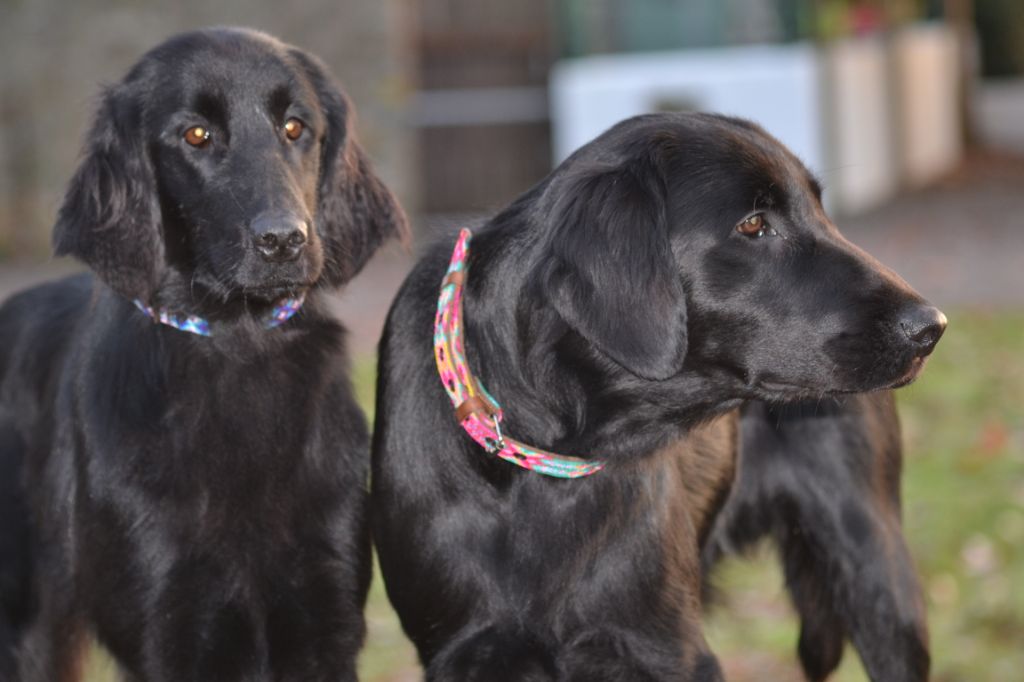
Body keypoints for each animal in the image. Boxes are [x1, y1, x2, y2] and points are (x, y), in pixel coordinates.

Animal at [0, 27, 405, 679]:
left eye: (296, 127)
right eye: (196, 135)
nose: (284, 240)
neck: (240, 344)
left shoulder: (326, 611)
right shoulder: (171, 621)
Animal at [372, 112, 946, 679]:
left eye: (821, 211)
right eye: (753, 225)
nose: (932, 328)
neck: (548, 463)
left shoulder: (666, 649)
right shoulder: (466, 650)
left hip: (875, 567)